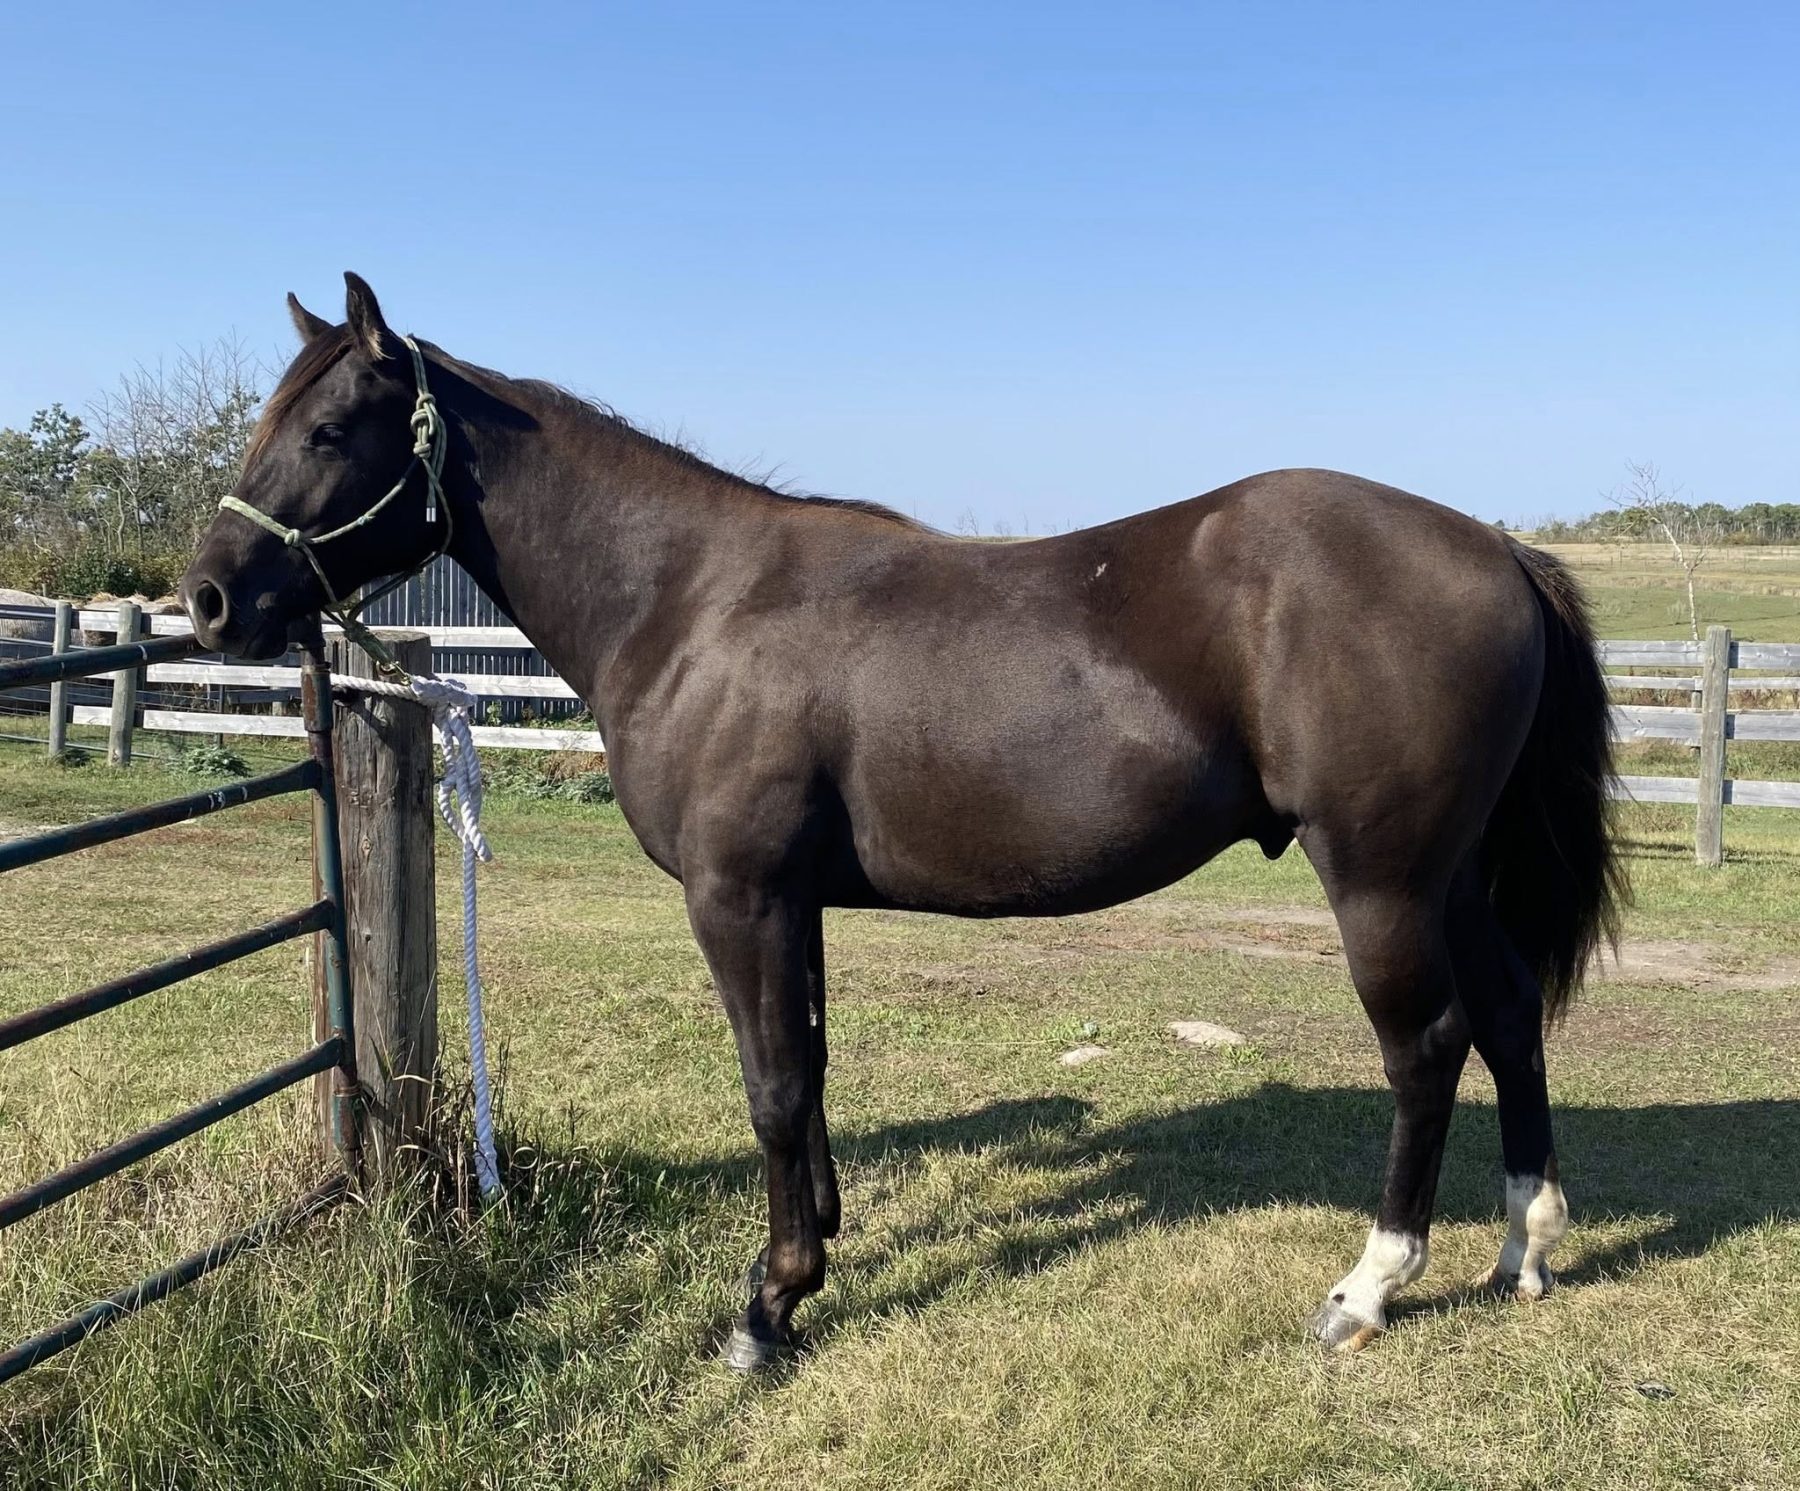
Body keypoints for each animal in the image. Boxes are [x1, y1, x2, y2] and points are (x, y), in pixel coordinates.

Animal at [182, 274, 1623, 1370]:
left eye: (328, 433)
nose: (207, 599)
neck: (692, 601)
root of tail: (1498, 551)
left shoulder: (739, 895)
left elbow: (770, 1085)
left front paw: (768, 1307)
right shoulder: (795, 901)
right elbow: (810, 1070)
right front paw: (815, 1249)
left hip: (1382, 878)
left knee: (1427, 1046)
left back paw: (1370, 1285)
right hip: (1452, 875)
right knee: (1508, 1019)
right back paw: (1524, 1244)